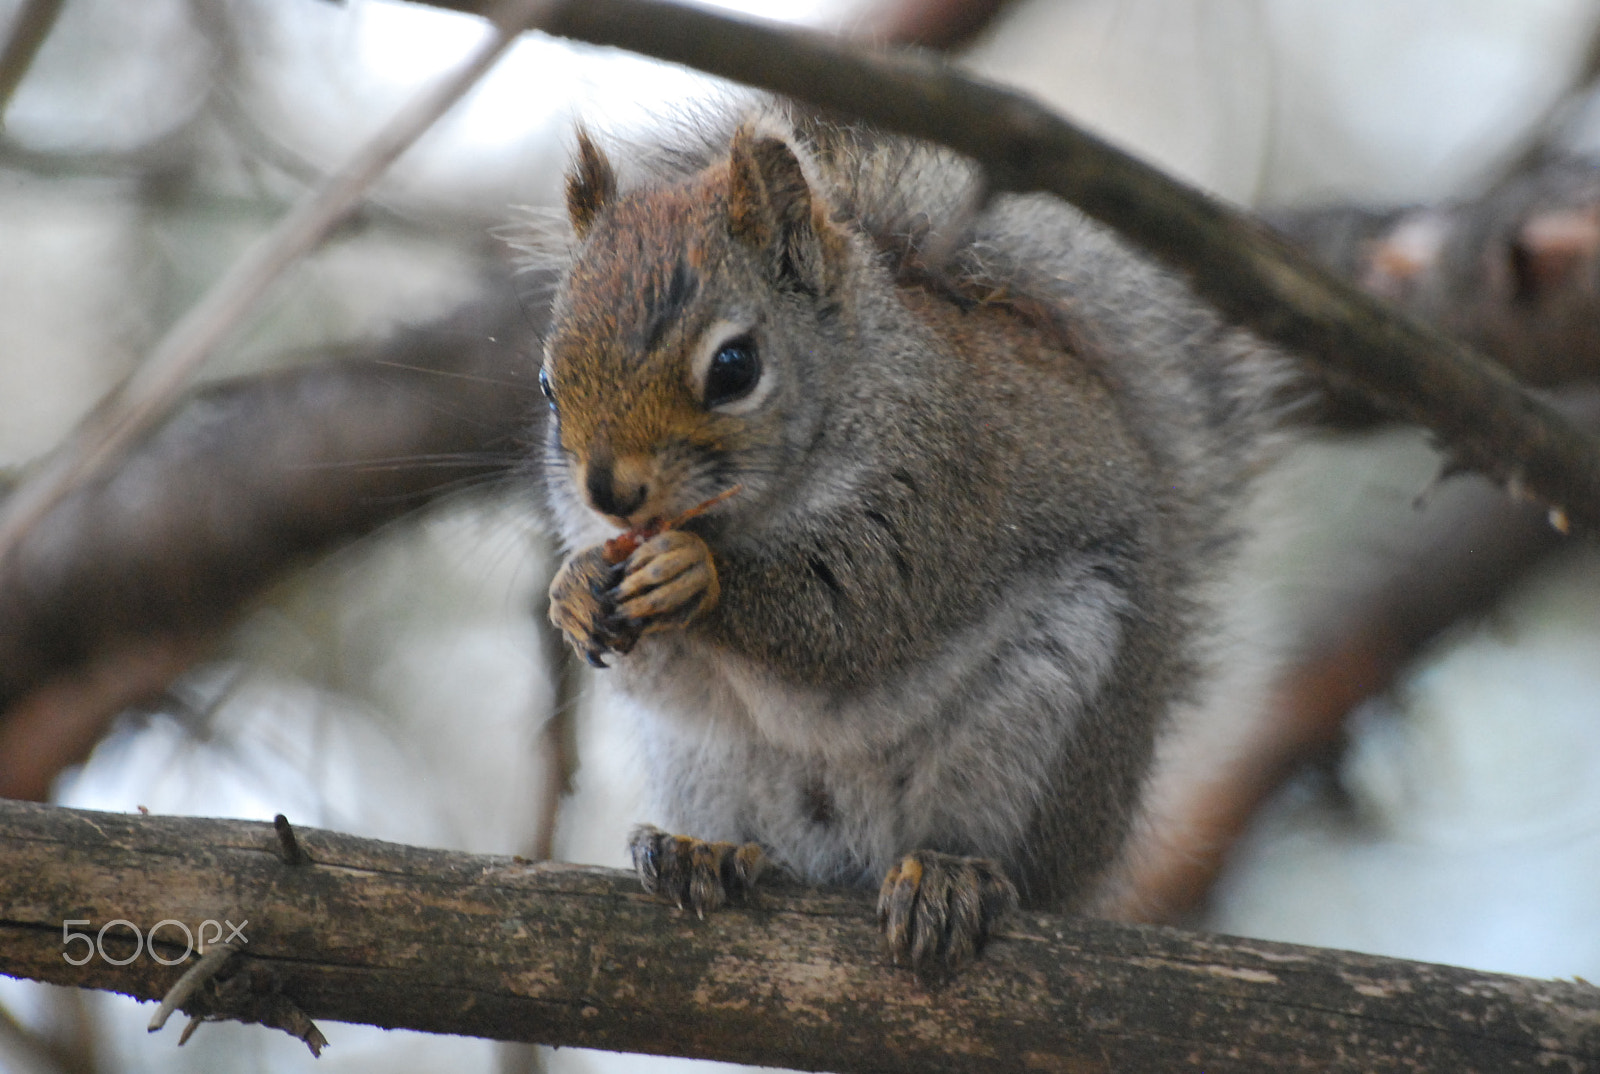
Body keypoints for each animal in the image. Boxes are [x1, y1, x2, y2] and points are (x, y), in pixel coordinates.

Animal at [531, 111, 1292, 985]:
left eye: (734, 367)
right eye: (548, 385)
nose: (608, 492)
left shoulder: (942, 489)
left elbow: (855, 618)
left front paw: (697, 576)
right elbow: (650, 670)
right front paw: (572, 592)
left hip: (1036, 725)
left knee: (1000, 858)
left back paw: (951, 880)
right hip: (706, 763)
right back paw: (706, 852)